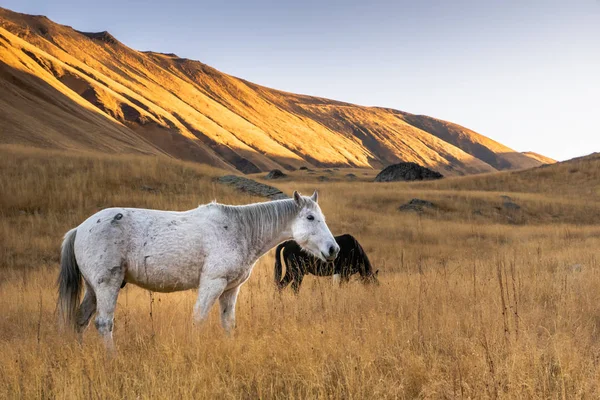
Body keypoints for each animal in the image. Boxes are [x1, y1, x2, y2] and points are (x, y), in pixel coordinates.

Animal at [58, 191, 340, 350]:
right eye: (310, 218)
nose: (333, 249)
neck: (240, 229)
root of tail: (80, 228)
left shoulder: (230, 289)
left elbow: (228, 323)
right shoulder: (212, 284)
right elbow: (199, 319)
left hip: (93, 289)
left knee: (80, 321)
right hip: (107, 285)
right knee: (103, 323)